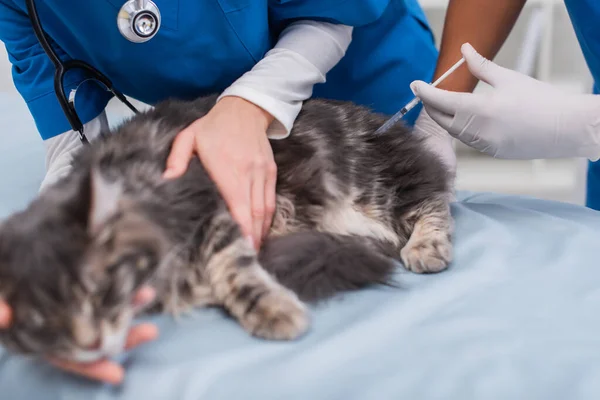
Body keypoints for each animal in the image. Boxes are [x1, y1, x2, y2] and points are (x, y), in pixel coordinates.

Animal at [0, 94, 452, 362]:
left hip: (376, 184)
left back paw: (426, 248)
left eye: (97, 292)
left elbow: (235, 272)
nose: (91, 346)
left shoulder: (217, 210)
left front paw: (274, 311)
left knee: (434, 200)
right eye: (42, 323)